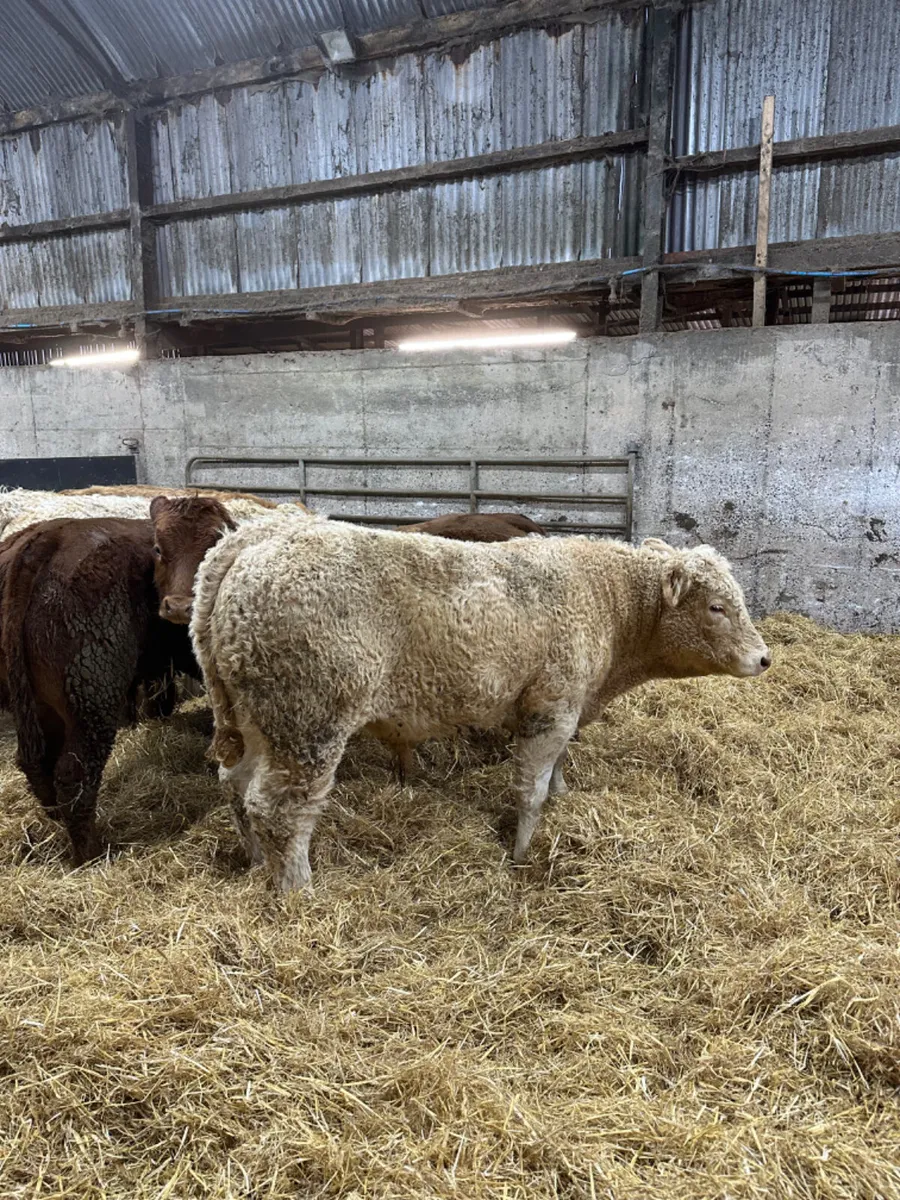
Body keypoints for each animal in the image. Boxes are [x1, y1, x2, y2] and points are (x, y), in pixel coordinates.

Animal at [0, 517, 198, 864]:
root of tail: (46, 539)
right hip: (91, 705)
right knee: (74, 776)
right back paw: (93, 853)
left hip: (41, 707)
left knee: (39, 765)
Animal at [188, 523, 771, 891]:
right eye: (717, 607)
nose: (764, 658)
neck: (604, 602)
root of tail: (254, 540)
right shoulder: (552, 705)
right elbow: (530, 791)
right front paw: (521, 855)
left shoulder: (569, 705)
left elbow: (555, 775)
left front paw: (562, 799)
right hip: (309, 722)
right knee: (280, 809)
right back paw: (298, 891)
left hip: (257, 719)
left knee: (236, 786)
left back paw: (256, 862)